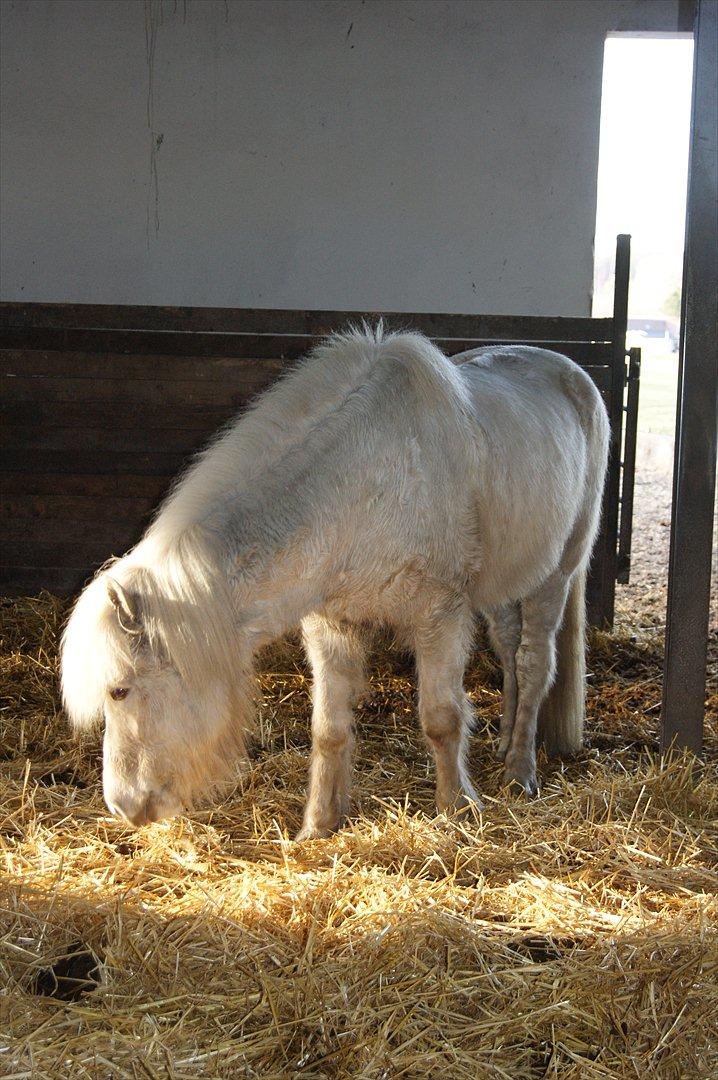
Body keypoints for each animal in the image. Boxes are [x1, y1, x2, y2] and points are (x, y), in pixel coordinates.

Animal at [62, 326, 604, 833]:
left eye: (119, 690)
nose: (122, 806)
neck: (363, 482)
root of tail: (571, 374)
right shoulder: (332, 624)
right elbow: (329, 728)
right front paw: (320, 824)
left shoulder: (440, 617)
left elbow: (441, 718)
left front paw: (456, 808)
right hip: (504, 589)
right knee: (509, 654)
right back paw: (505, 742)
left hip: (555, 576)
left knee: (533, 664)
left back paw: (519, 770)